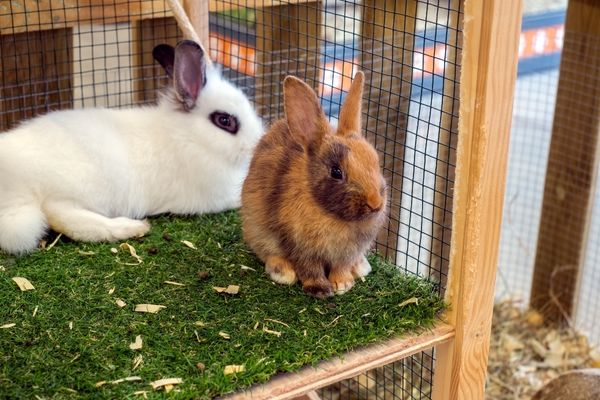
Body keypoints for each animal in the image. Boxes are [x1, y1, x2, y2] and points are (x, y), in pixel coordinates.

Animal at [0, 39, 262, 253]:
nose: (257, 142)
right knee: (64, 216)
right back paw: (131, 227)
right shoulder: (215, 195)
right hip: (78, 187)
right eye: (225, 121)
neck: (190, 137)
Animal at [240, 71, 386, 296]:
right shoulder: (299, 246)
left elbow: (341, 266)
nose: (376, 203)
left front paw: (343, 284)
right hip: (256, 229)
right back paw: (282, 272)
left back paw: (361, 267)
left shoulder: (347, 253)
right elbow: (309, 268)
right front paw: (320, 289)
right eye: (336, 172)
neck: (330, 213)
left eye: (376, 162)